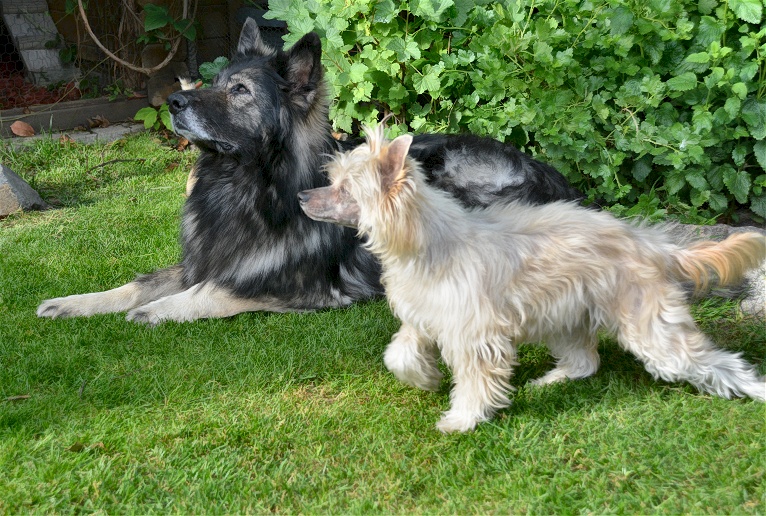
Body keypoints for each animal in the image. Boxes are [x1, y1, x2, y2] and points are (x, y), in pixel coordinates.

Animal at [36, 19, 581, 324]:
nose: (173, 102)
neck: (244, 187)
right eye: (213, 82)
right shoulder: (201, 261)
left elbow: (212, 291)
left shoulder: (296, 286)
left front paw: (158, 310)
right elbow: (138, 282)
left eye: (239, 92)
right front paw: (75, 302)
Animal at [298, 124, 766, 433]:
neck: (428, 244)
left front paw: (461, 420)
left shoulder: (476, 336)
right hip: (563, 317)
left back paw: (754, 390)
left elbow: (474, 382)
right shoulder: (423, 319)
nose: (301, 196)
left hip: (653, 333)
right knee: (585, 361)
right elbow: (398, 354)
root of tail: (649, 243)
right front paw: (425, 379)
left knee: (714, 363)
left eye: (344, 189)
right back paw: (549, 382)